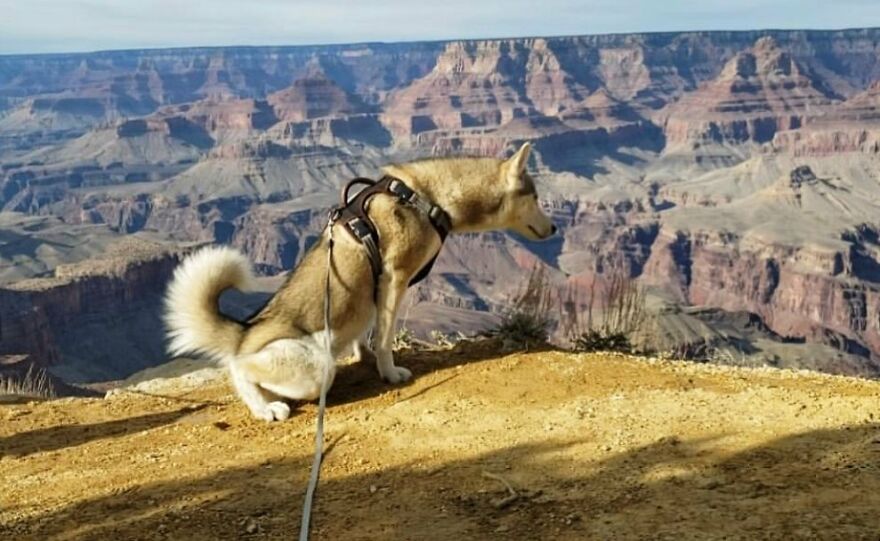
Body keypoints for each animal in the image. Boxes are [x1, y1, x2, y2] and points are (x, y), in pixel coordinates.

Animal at [163, 141, 556, 420]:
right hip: (315, 364)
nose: (554, 228)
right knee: (240, 369)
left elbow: (367, 335)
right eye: (536, 197)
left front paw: (364, 357)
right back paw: (265, 407)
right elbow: (384, 339)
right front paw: (390, 372)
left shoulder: (374, 293)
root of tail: (244, 334)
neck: (428, 198)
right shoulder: (394, 280)